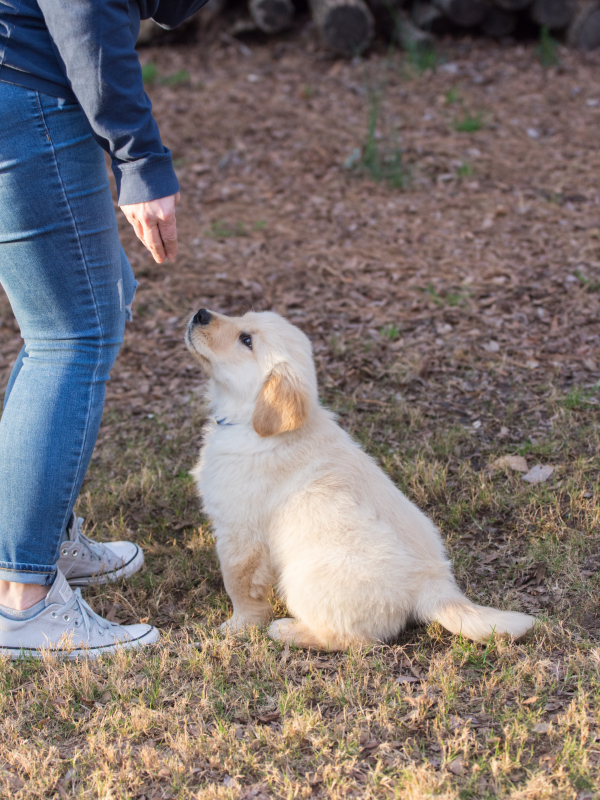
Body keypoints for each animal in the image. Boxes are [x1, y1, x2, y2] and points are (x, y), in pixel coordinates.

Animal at [186, 306, 536, 648]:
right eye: (242, 317)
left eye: (246, 340)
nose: (200, 313)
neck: (251, 424)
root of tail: (434, 587)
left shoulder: (239, 532)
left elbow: (240, 585)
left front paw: (238, 626)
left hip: (304, 577)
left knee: (351, 640)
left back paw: (288, 631)